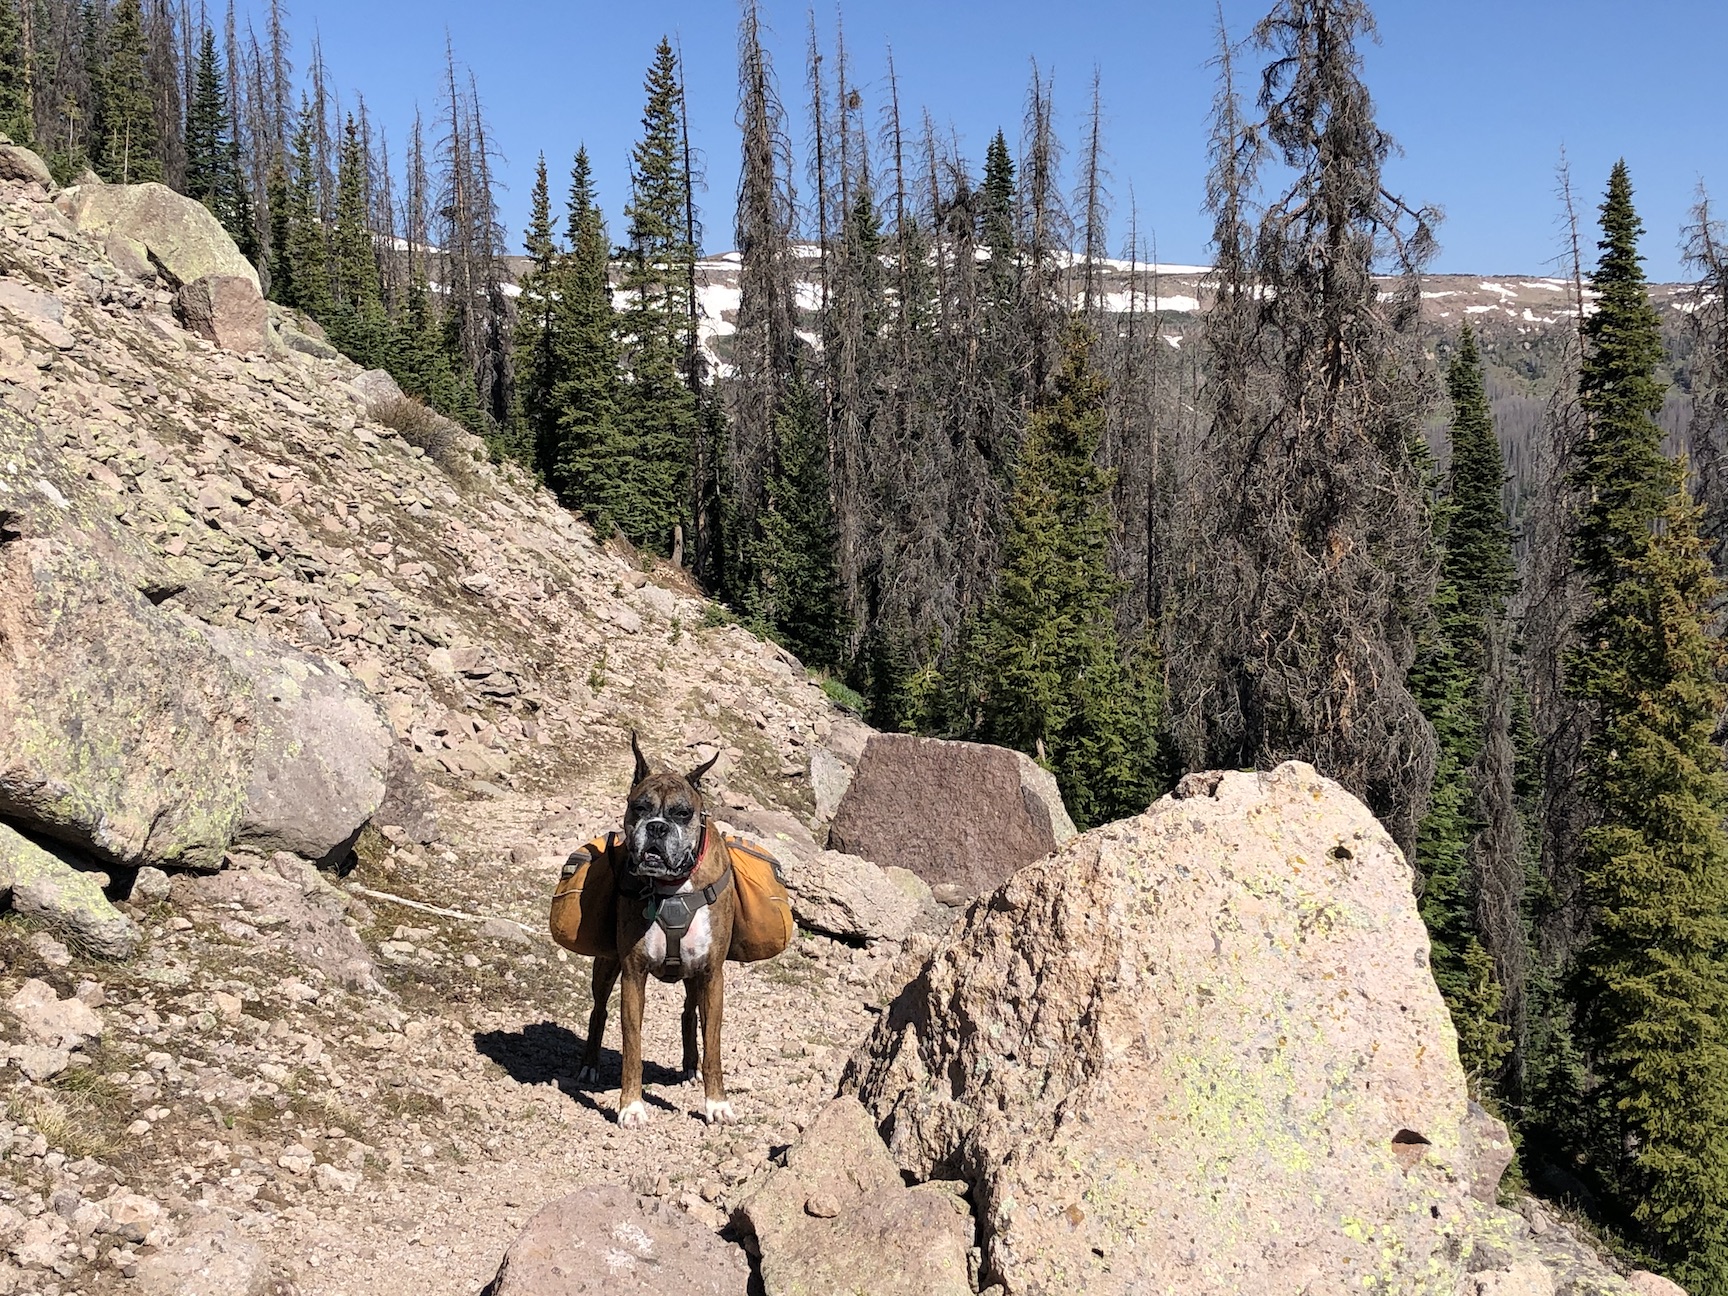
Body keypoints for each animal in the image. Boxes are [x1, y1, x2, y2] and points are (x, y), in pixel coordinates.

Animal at [577, 734, 738, 1129]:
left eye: (682, 813)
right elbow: (632, 1045)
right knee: (598, 1010)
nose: (657, 827)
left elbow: (713, 1045)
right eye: (640, 807)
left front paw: (716, 1103)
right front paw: (631, 1106)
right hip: (606, 967)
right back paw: (589, 1065)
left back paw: (690, 1067)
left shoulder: (712, 975)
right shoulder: (633, 975)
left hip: (695, 977)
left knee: (689, 1013)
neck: (672, 887)